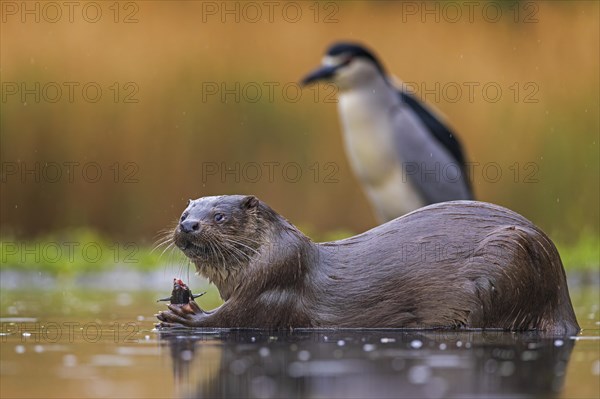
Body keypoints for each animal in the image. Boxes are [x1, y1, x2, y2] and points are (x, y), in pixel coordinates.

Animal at [157, 195, 580, 336]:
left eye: (220, 216)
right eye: (184, 213)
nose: (189, 225)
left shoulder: (273, 285)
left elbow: (236, 318)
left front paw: (183, 315)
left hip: (507, 257)